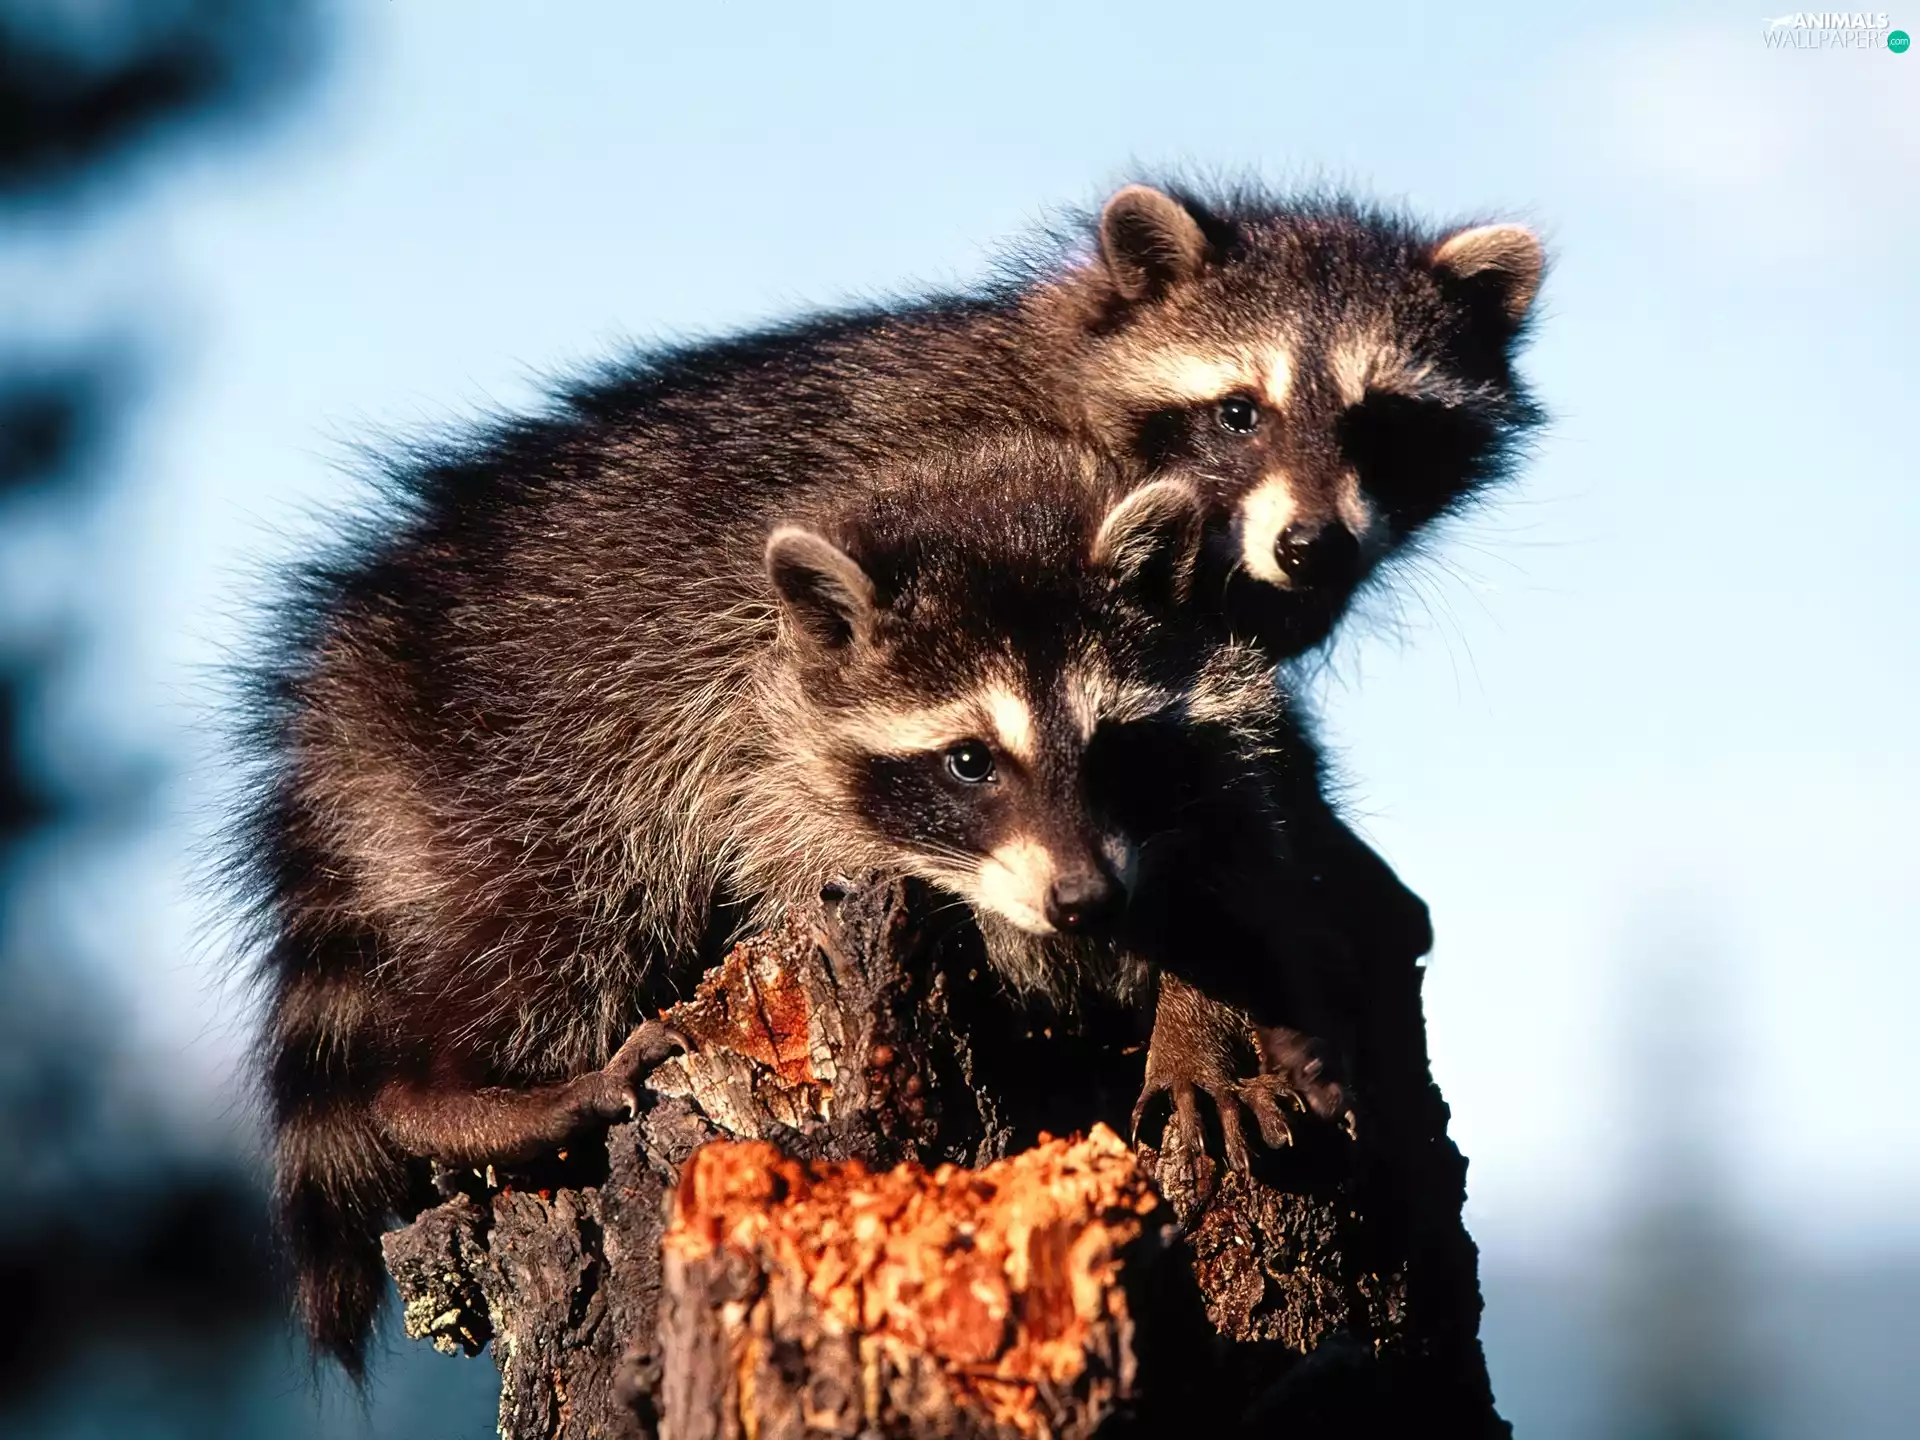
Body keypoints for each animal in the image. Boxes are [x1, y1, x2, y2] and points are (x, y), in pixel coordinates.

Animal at [241, 433, 1328, 1373]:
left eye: (1111, 746)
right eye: (969, 761)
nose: (1084, 899)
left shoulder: (1219, 704)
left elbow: (1243, 852)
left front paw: (1199, 1018)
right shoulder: (752, 752)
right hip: (531, 771)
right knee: (558, 923)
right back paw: (447, 1100)